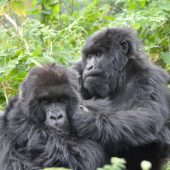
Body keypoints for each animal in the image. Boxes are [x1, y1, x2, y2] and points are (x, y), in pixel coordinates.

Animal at [73, 27, 170, 169]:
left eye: (98, 54)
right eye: (89, 56)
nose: (89, 67)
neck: (121, 76)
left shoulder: (150, 76)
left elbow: (149, 114)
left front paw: (84, 118)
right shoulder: (77, 70)